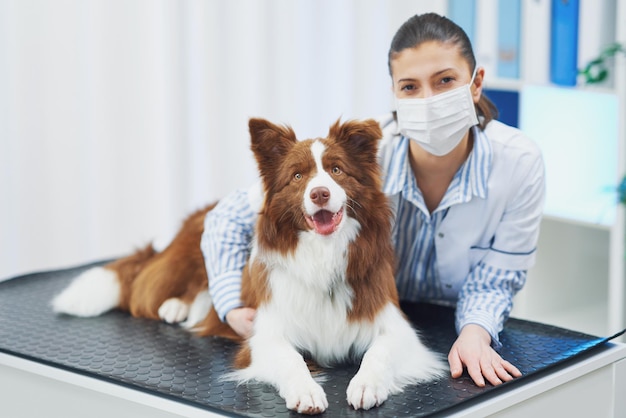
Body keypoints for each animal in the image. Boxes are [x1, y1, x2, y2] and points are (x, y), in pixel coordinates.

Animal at [52, 117, 444, 414]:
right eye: (298, 176)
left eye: (336, 170)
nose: (319, 193)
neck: (322, 253)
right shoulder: (266, 335)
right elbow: (291, 360)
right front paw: (306, 391)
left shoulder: (395, 326)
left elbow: (378, 354)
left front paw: (365, 384)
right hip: (188, 254)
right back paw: (175, 306)